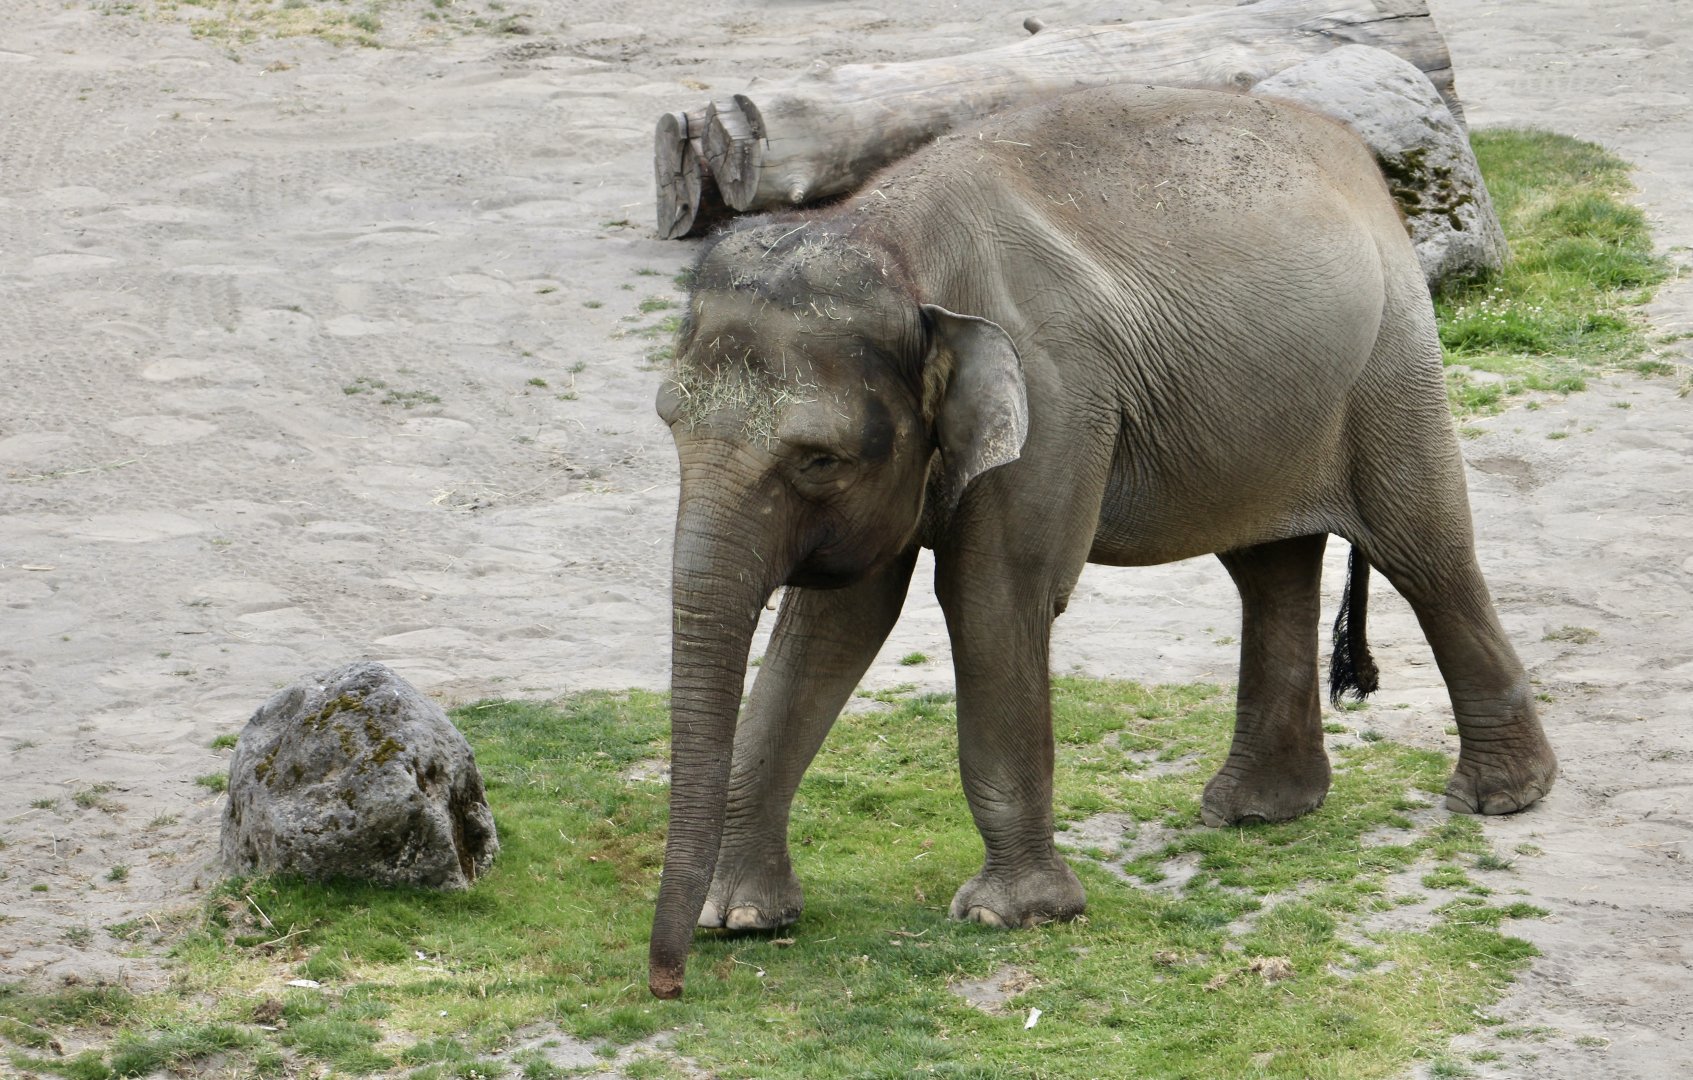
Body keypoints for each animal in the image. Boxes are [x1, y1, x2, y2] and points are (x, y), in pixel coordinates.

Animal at [647, 84, 1557, 999]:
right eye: (667, 421)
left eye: (818, 458)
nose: (667, 986)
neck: (890, 239)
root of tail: (1355, 155)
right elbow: (839, 621)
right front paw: (742, 918)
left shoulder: (1054, 398)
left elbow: (990, 596)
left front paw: (1011, 916)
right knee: (1268, 567)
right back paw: (1257, 811)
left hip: (1391, 359)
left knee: (1422, 551)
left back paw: (1499, 798)